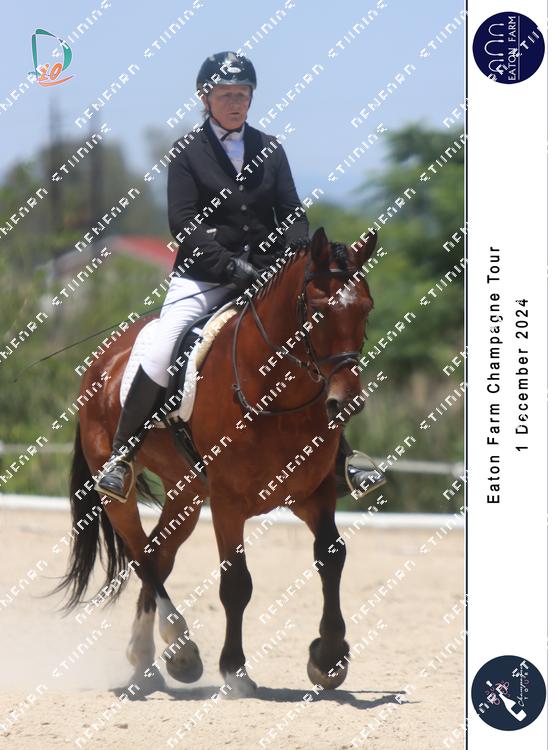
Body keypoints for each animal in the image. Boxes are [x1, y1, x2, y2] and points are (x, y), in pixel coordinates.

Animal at [56, 226, 377, 697]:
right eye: (317, 312)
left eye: (365, 309)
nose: (346, 401)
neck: (276, 395)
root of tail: (104, 358)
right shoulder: (229, 503)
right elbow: (236, 584)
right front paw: (236, 672)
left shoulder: (314, 494)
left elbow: (332, 556)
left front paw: (328, 659)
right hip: (117, 488)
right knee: (141, 556)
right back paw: (182, 653)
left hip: (187, 493)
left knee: (158, 555)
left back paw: (145, 662)